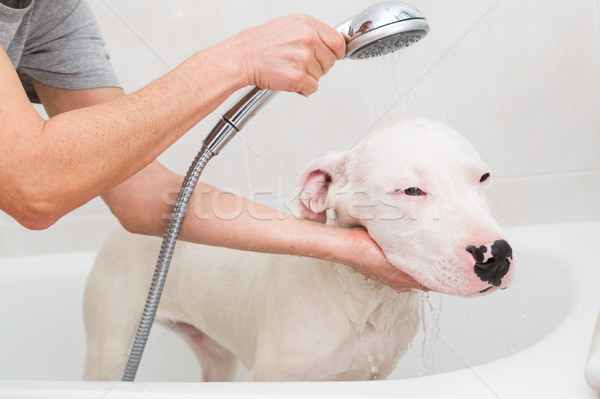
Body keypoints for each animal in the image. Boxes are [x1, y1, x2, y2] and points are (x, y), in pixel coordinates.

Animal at [83, 115, 516, 382]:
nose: (496, 257)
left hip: (215, 355)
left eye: (483, 177)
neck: (363, 301)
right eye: (411, 190)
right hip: (111, 348)